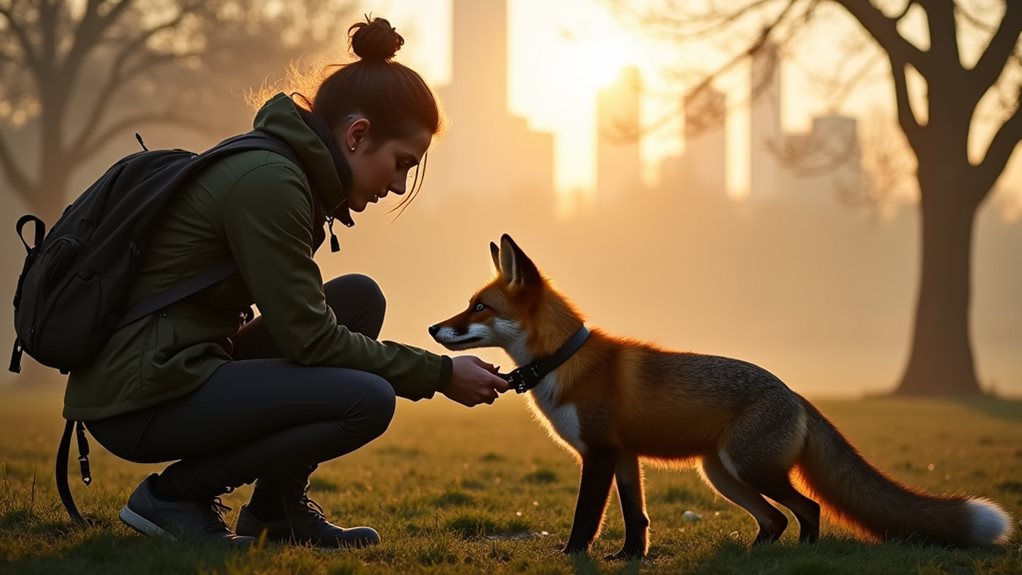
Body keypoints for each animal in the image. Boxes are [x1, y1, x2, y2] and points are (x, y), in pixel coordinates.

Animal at [428, 234, 1013, 559]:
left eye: (479, 307)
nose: (434, 328)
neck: (565, 361)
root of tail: (796, 393)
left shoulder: (599, 454)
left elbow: (585, 518)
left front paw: (573, 556)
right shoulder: (625, 456)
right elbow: (637, 519)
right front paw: (629, 558)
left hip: (748, 469)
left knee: (808, 509)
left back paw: (803, 557)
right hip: (722, 475)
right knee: (775, 520)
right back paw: (753, 556)